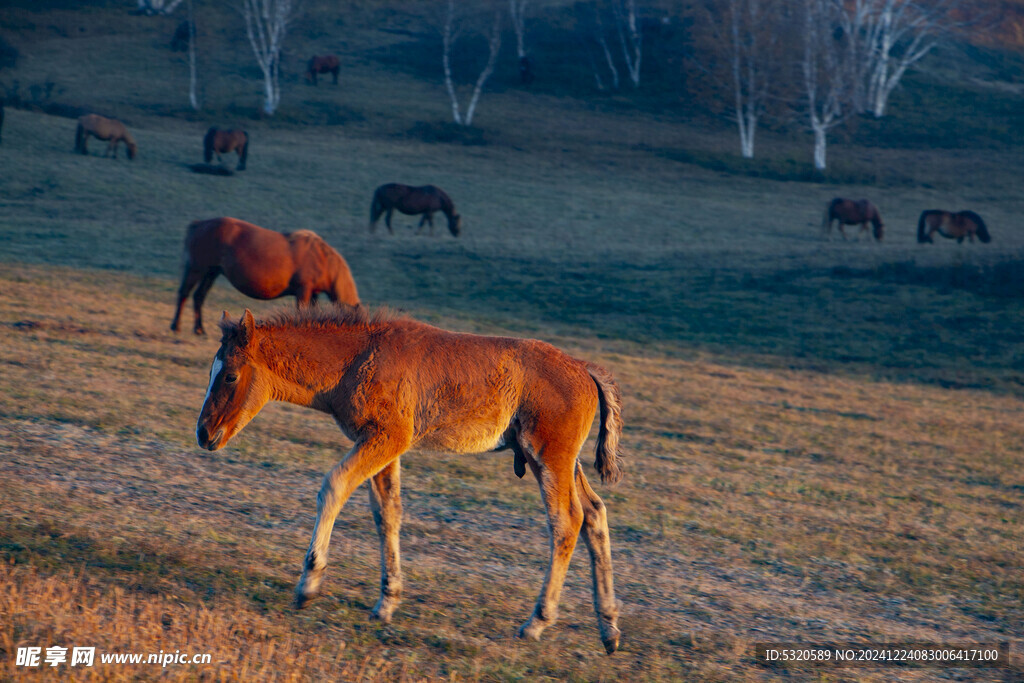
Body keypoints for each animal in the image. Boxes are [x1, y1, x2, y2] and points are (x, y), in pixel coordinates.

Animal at [168, 218, 360, 335]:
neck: (322, 258)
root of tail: (200, 224)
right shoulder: (304, 290)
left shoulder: (313, 293)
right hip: (197, 270)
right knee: (184, 294)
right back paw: (176, 327)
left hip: (211, 273)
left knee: (198, 296)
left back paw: (199, 329)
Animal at [192, 307, 622, 655]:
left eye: (229, 375)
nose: (204, 433)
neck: (357, 358)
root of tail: (585, 369)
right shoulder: (383, 444)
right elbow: (388, 514)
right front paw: (387, 602)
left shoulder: (387, 438)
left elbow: (333, 486)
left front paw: (308, 584)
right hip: (561, 463)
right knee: (594, 514)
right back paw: (609, 629)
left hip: (549, 458)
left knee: (567, 522)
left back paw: (536, 623)